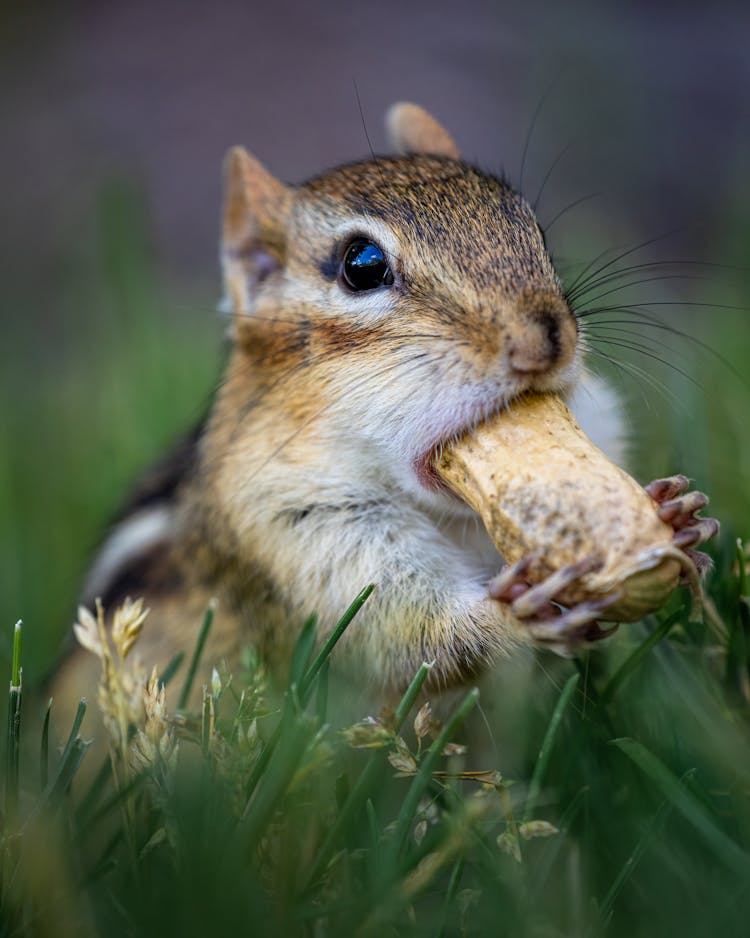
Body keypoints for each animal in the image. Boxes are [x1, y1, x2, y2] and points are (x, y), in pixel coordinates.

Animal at [50, 100, 720, 708]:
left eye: (533, 230)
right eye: (362, 265)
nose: (544, 342)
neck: (462, 519)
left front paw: (676, 514)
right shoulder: (299, 537)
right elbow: (407, 640)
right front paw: (520, 617)